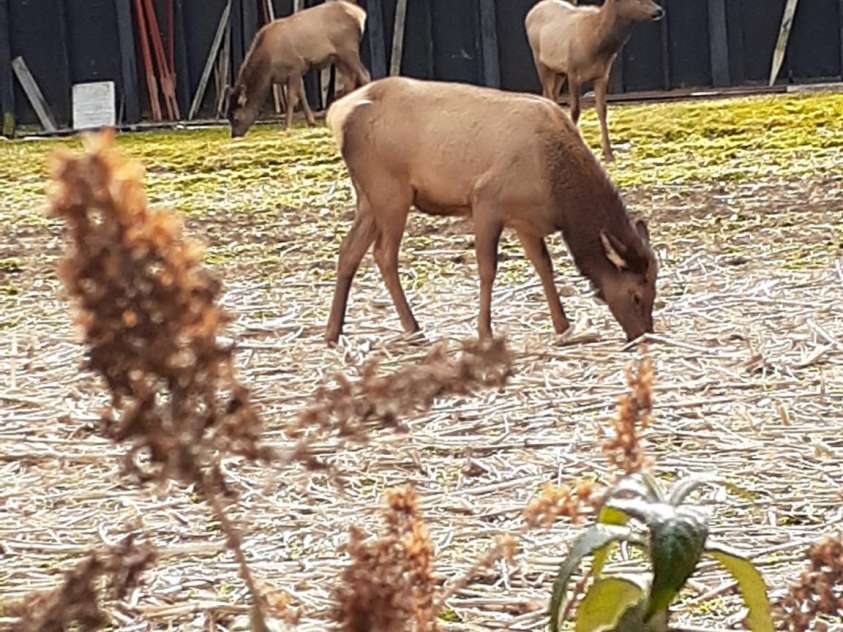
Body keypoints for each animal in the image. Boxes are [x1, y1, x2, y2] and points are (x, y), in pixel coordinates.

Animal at [227, 0, 370, 138]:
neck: (269, 70)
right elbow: (302, 93)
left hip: (348, 48)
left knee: (364, 75)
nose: (234, 135)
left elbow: (291, 98)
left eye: (236, 117)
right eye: (228, 116)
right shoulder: (293, 74)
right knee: (349, 81)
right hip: (339, 57)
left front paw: (287, 126)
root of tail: (360, 15)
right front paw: (311, 122)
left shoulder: (294, 68)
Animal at [324, 77, 658, 345]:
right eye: (635, 295)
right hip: (391, 191)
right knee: (383, 254)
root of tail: (336, 114)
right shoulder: (487, 200)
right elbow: (488, 269)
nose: (643, 334)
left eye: (655, 289)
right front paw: (485, 331)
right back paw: (413, 327)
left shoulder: (525, 221)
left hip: (368, 198)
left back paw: (333, 332)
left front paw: (563, 325)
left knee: (349, 250)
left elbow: (544, 266)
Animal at [526, 0, 665, 161]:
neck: (597, 46)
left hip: (559, 71)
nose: (659, 10)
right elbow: (575, 111)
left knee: (551, 95)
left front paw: (609, 153)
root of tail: (532, 11)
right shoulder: (573, 72)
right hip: (540, 61)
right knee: (548, 94)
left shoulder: (602, 75)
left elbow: (602, 110)